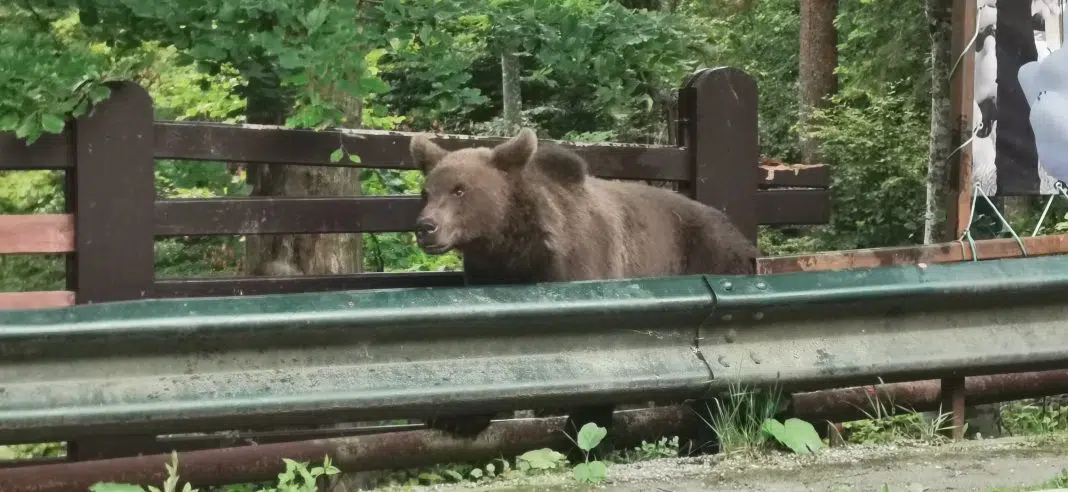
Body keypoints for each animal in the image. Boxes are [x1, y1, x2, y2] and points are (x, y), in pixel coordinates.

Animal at [405, 125, 760, 441]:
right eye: (426, 192)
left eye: (460, 189)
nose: (426, 227)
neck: (515, 249)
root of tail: (739, 232)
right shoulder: (490, 278)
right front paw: (453, 417)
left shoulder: (584, 271)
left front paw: (582, 428)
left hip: (710, 255)